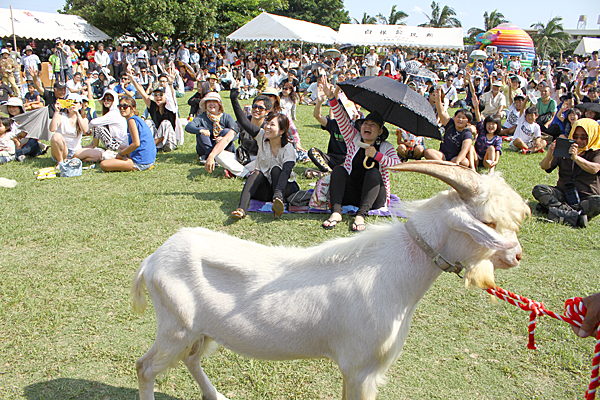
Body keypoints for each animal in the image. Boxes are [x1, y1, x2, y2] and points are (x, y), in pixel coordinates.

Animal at [131, 160, 528, 400]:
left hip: (201, 330)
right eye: (489, 223)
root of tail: (152, 260)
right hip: (175, 326)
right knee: (145, 367)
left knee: (191, 359)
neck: (394, 272)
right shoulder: (359, 368)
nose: (516, 255)